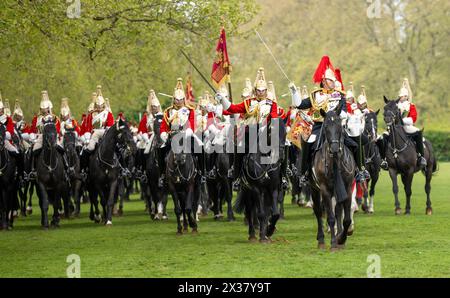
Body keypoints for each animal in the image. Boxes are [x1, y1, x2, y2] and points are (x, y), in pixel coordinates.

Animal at [310, 109, 356, 249]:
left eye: (340, 126)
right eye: (325, 127)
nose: (335, 149)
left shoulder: (347, 188)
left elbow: (345, 218)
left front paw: (341, 238)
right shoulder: (325, 190)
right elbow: (330, 217)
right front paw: (334, 242)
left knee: (338, 211)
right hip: (314, 188)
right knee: (318, 211)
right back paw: (321, 240)